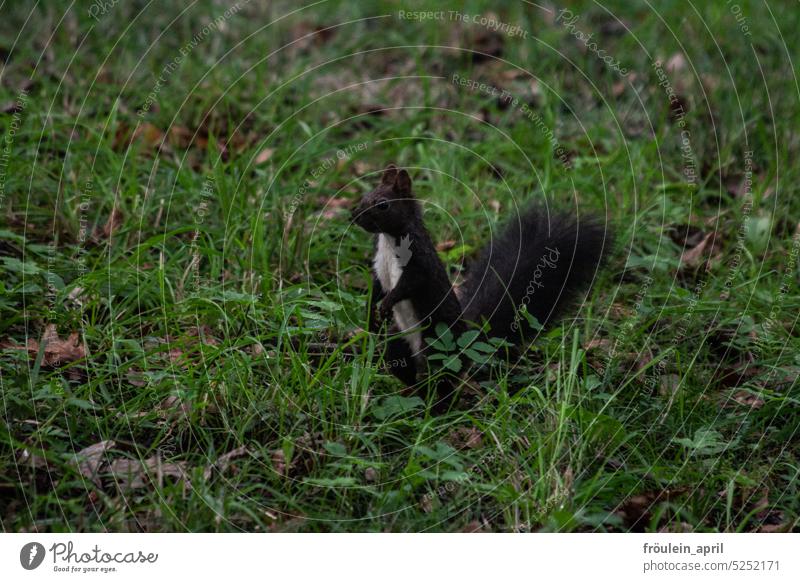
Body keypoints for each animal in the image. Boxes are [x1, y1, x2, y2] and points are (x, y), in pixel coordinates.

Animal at [354, 162, 608, 402]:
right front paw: (371, 309)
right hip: (399, 342)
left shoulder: (419, 262)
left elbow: (409, 284)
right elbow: (378, 285)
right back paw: (410, 395)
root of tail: (466, 345)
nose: (354, 216)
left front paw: (387, 303)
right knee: (406, 369)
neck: (389, 240)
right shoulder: (379, 264)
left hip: (436, 343)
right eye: (365, 195)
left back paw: (435, 406)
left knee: (441, 380)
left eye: (383, 204)